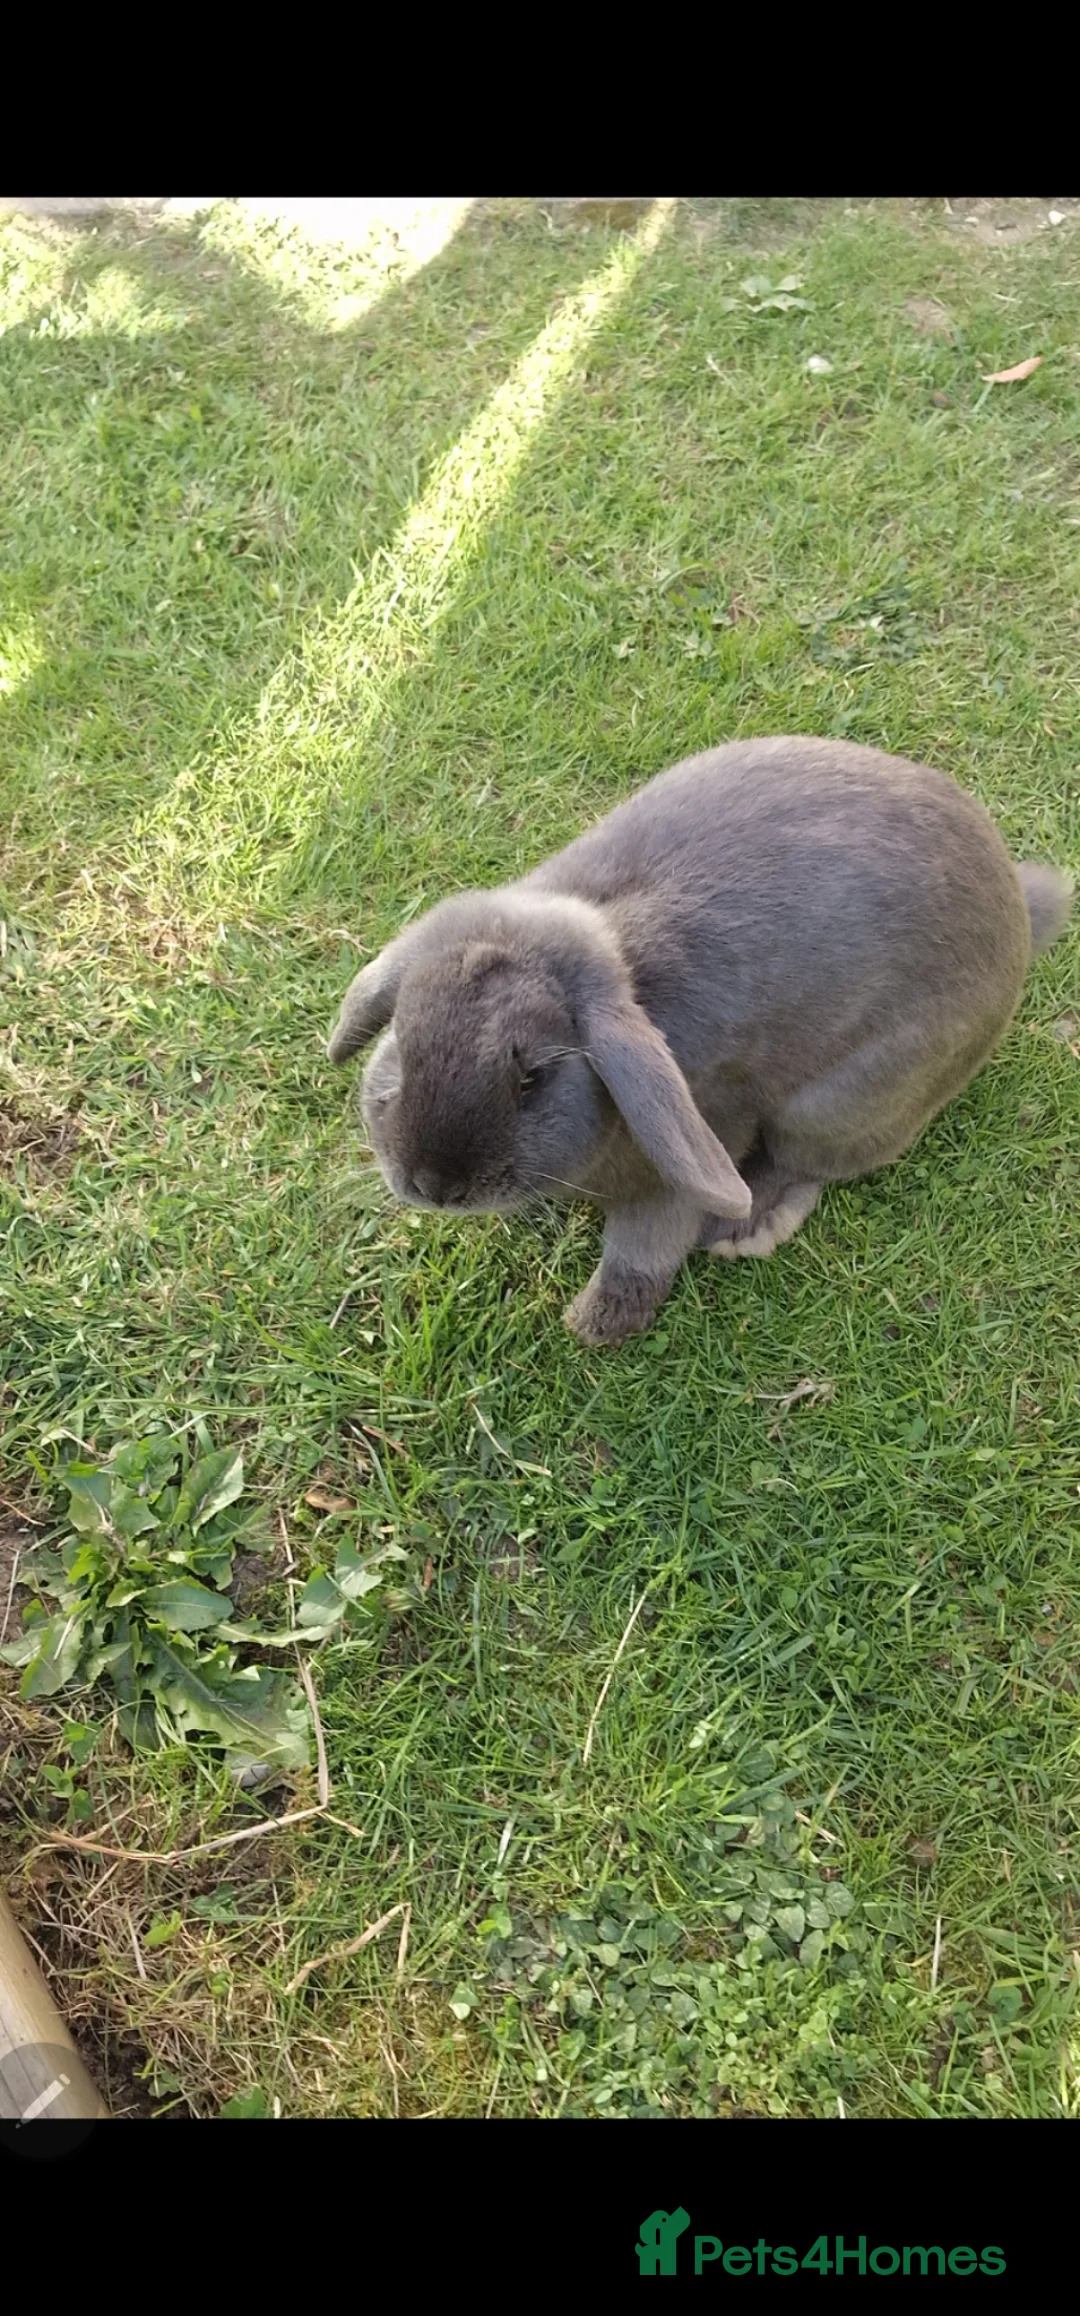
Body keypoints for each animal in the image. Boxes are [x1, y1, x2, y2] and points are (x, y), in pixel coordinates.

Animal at [327, 736, 1073, 1346]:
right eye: (401, 1043)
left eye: (532, 1077)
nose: (433, 1184)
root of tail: (1017, 908)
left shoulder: (689, 1155)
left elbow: (643, 1248)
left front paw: (596, 1325)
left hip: (840, 1106)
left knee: (808, 1167)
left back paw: (745, 1228)